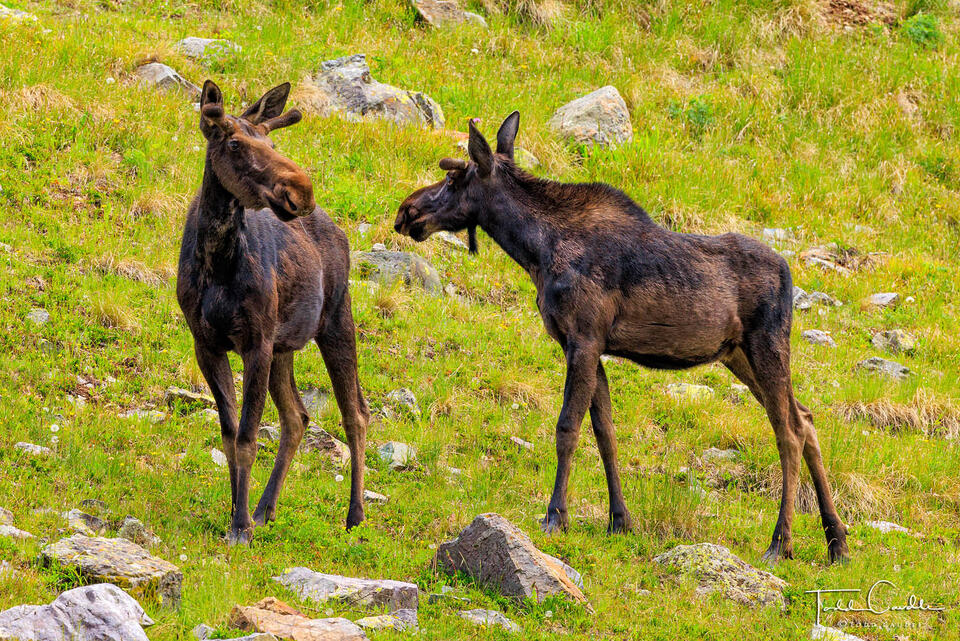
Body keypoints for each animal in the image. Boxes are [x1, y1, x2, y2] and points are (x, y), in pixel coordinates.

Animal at [176, 80, 369, 544]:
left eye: (272, 141)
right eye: (234, 142)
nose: (300, 191)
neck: (217, 262)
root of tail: (339, 230)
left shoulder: (256, 342)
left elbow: (247, 438)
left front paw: (240, 526)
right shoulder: (207, 343)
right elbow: (230, 435)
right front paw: (237, 513)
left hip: (336, 320)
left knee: (355, 413)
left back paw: (354, 515)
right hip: (286, 345)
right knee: (297, 417)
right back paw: (266, 508)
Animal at [393, 112, 849, 564]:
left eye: (453, 179)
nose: (405, 211)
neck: (534, 250)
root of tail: (789, 274)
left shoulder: (583, 338)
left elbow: (567, 428)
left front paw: (555, 516)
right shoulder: (588, 346)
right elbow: (605, 433)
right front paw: (619, 519)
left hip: (765, 345)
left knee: (789, 431)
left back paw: (781, 542)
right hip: (738, 355)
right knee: (806, 419)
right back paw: (837, 542)